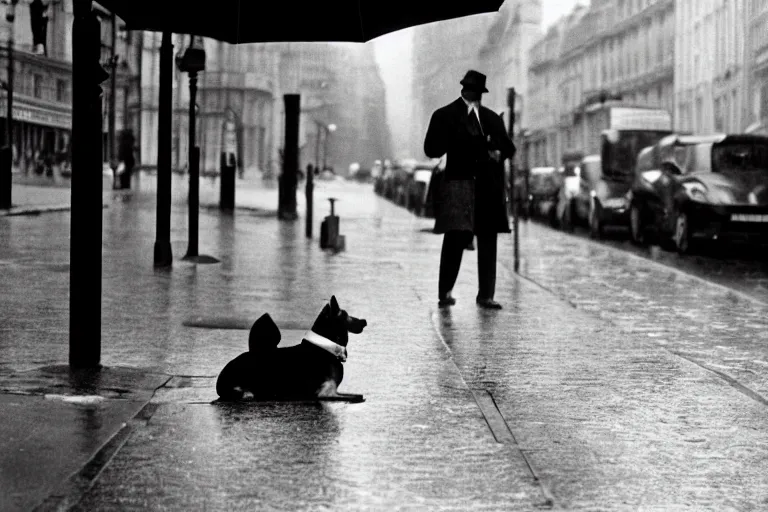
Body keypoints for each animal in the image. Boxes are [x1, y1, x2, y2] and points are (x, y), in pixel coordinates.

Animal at [216, 298, 368, 402]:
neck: (326, 347)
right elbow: (357, 397)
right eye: (346, 315)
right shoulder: (325, 393)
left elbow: (357, 394)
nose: (365, 321)